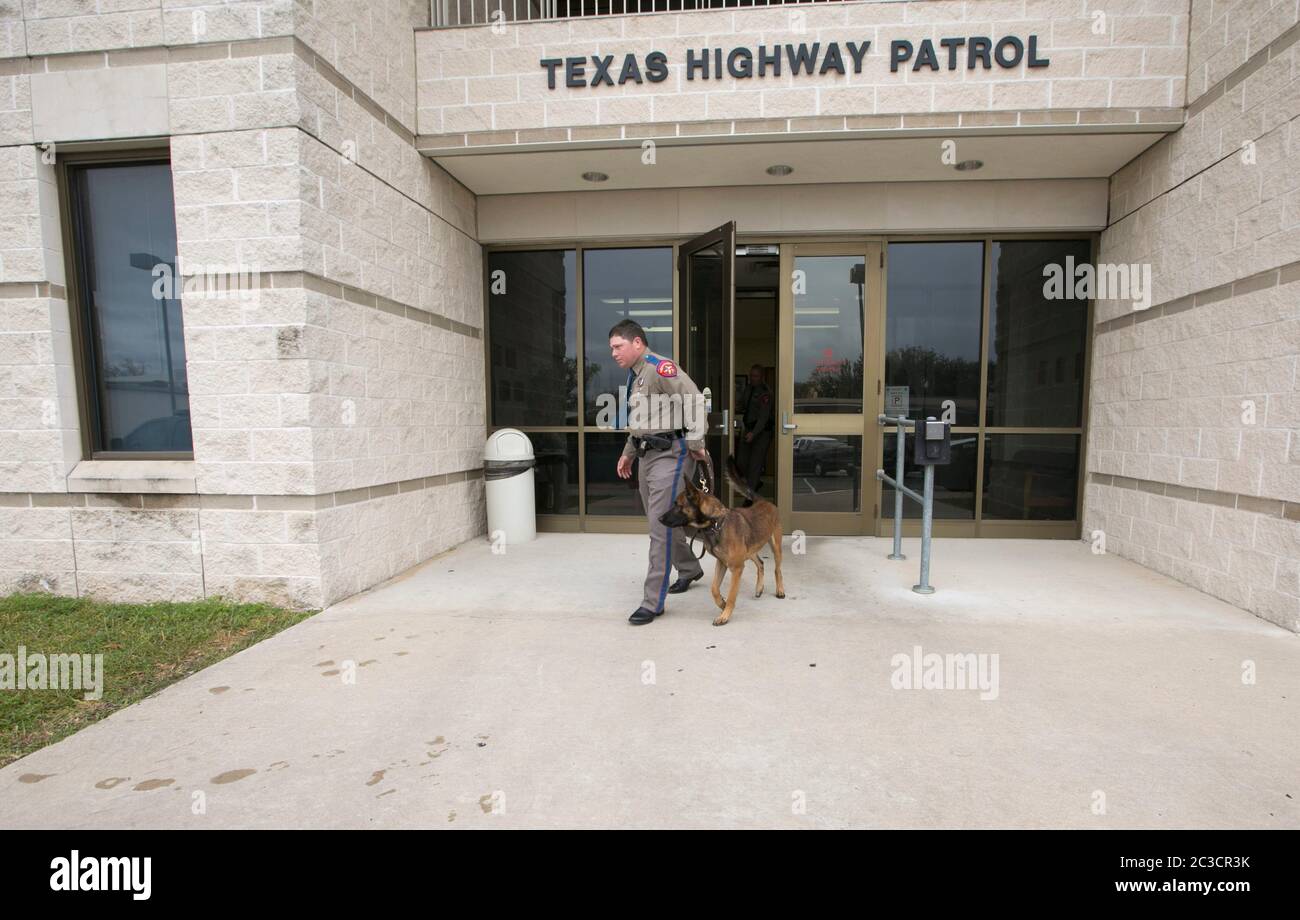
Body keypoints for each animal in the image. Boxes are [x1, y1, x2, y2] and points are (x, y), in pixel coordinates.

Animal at [660, 457, 780, 626]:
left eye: (678, 505)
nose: (659, 519)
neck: (715, 523)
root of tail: (763, 501)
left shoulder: (736, 568)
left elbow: (731, 595)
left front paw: (725, 615)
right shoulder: (722, 563)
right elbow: (714, 589)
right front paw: (721, 604)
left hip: (775, 546)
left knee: (777, 569)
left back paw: (780, 590)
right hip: (749, 551)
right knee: (761, 563)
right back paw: (759, 588)